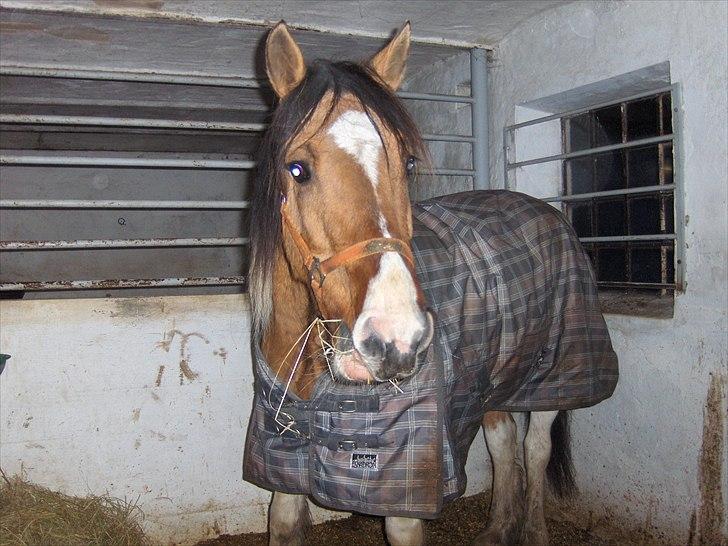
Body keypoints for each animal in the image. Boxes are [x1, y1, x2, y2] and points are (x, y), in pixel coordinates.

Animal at [242, 21, 616, 544]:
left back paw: (533, 529)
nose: (397, 338)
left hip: (554, 376)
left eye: (409, 164)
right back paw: (496, 529)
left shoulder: (403, 498)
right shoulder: (284, 469)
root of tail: (544, 209)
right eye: (297, 169)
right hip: (493, 380)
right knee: (504, 443)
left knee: (535, 447)